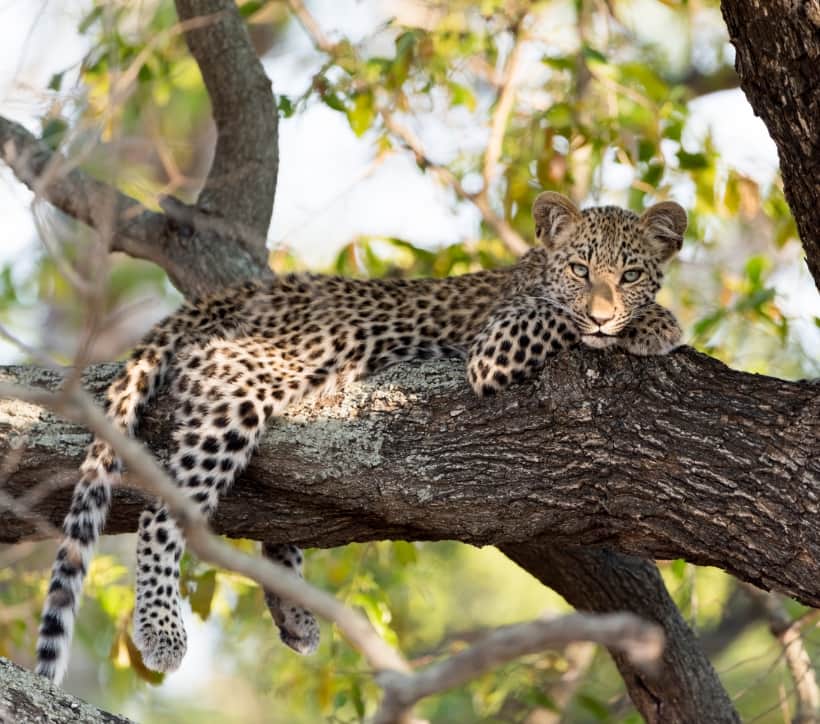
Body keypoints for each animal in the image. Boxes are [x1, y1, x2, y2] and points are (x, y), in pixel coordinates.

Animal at [35, 191, 686, 684]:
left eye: (629, 274)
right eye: (580, 269)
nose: (604, 312)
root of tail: (233, 294)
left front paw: (641, 321)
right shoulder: (497, 346)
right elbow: (559, 317)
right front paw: (656, 323)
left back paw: (295, 613)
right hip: (252, 375)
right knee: (162, 512)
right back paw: (161, 629)